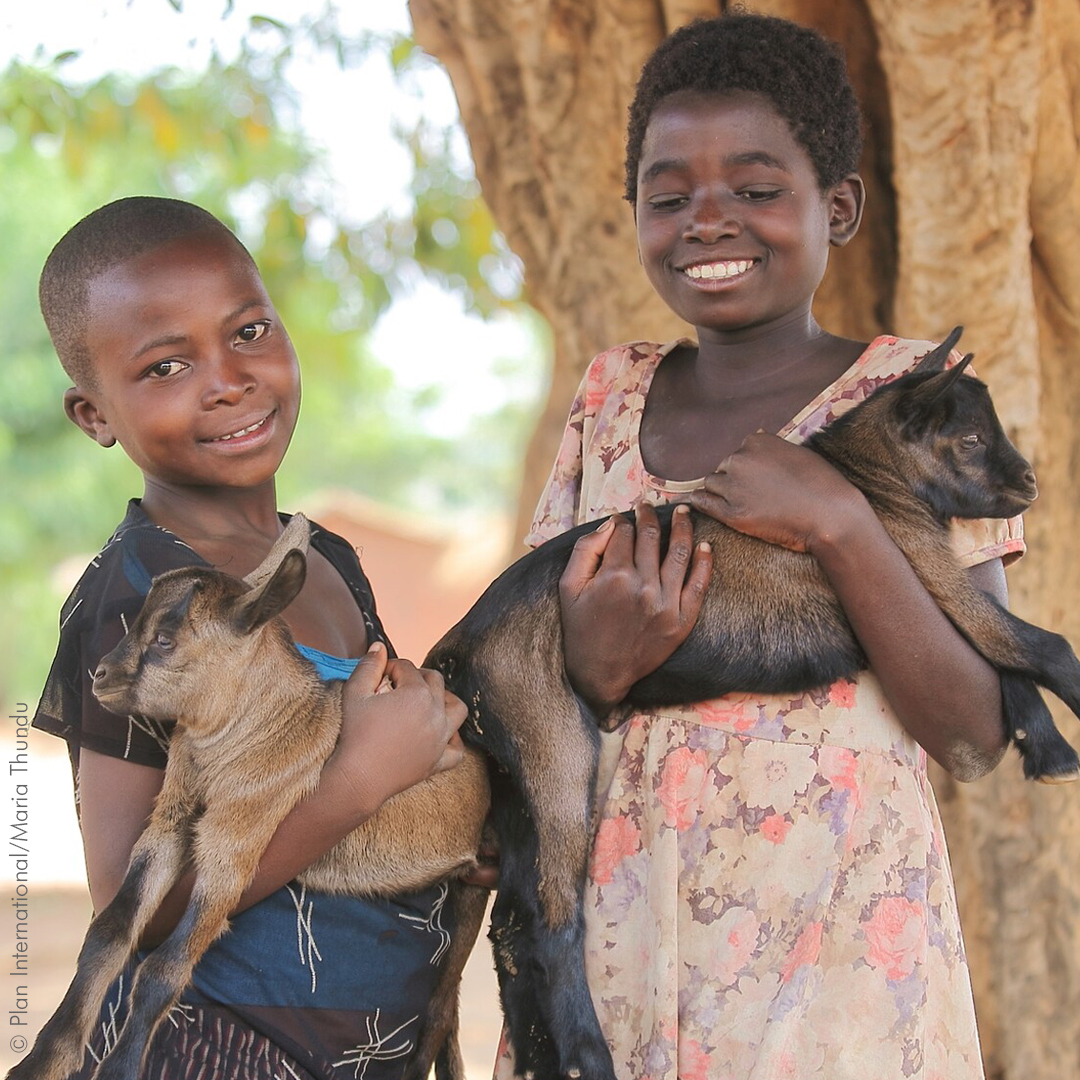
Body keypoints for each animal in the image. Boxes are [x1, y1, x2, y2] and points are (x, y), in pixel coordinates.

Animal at [10, 511, 492, 1080]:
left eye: (166, 638)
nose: (101, 676)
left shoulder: (235, 842)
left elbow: (163, 968)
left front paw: (121, 1067)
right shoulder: (169, 825)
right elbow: (108, 934)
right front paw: (43, 1060)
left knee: (437, 1010)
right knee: (446, 1005)